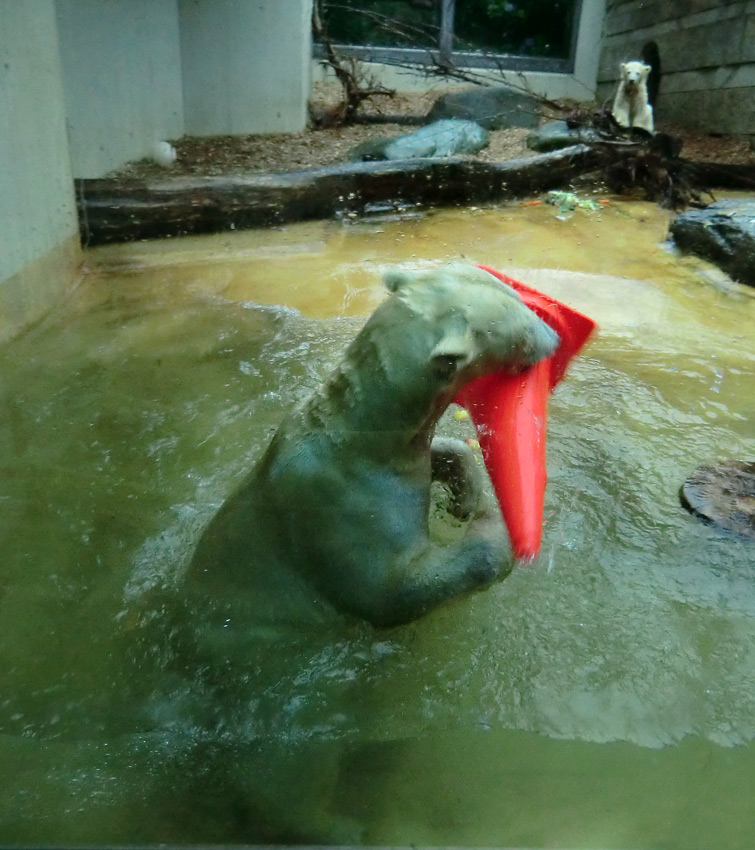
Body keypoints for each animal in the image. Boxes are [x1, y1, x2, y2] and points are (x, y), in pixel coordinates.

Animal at [186, 262, 560, 628]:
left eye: (517, 294)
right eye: (524, 328)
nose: (555, 337)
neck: (361, 434)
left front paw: (463, 498)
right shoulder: (340, 512)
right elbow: (391, 591)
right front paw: (497, 525)